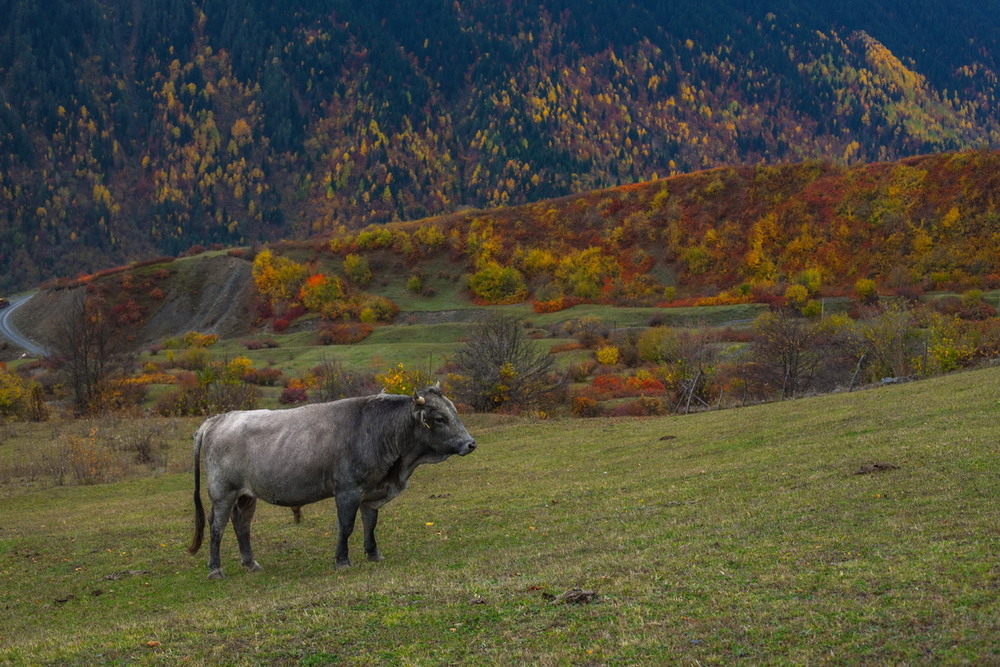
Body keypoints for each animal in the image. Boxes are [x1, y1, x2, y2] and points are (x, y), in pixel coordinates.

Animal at [188, 386, 476, 580]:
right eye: (439, 418)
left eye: (454, 413)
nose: (470, 444)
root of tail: (219, 419)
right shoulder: (348, 491)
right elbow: (345, 526)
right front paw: (342, 560)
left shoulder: (372, 491)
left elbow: (370, 523)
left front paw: (373, 553)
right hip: (223, 493)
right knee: (217, 526)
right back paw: (215, 569)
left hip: (247, 495)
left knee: (242, 525)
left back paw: (250, 563)